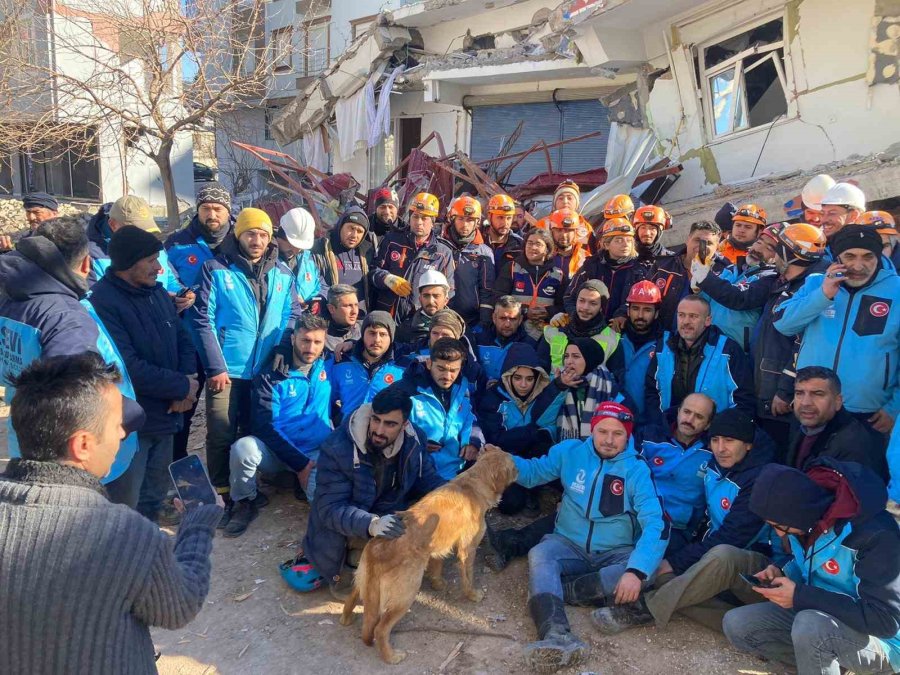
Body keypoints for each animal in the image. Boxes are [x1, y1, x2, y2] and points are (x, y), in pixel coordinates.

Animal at [342, 446, 516, 664]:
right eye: (514, 466)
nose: (521, 471)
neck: (474, 482)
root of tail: (378, 547)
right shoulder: (468, 550)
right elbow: (468, 578)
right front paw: (472, 595)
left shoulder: (439, 547)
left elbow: (437, 566)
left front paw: (438, 583)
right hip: (405, 594)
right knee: (380, 629)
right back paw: (392, 656)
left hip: (364, 580)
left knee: (350, 600)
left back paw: (346, 619)